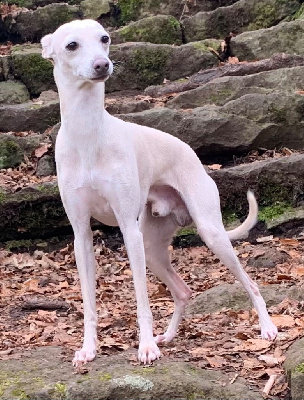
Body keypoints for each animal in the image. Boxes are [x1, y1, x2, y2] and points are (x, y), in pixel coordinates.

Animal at [41, 20, 278, 368]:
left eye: (104, 39)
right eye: (72, 45)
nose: (102, 65)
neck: (88, 134)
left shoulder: (129, 230)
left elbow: (142, 300)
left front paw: (146, 347)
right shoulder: (81, 235)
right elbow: (89, 303)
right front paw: (89, 349)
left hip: (209, 234)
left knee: (250, 284)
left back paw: (267, 327)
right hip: (153, 247)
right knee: (183, 291)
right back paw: (167, 336)